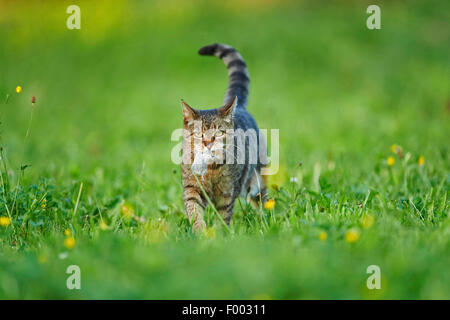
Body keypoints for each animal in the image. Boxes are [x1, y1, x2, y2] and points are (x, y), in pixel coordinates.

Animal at [179, 43, 266, 230]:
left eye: (219, 132)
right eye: (199, 134)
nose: (207, 142)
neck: (211, 169)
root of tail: (239, 107)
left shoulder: (227, 194)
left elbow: (223, 217)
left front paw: (220, 234)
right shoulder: (192, 188)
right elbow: (194, 212)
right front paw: (200, 231)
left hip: (257, 178)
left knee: (264, 199)